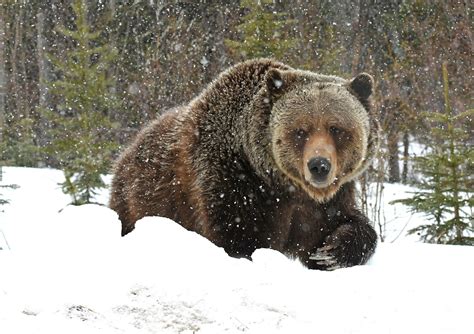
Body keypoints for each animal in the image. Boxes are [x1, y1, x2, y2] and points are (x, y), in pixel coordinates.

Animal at [109, 58, 380, 270]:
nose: (319, 166)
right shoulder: (232, 180)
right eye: (300, 131)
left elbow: (342, 226)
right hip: (138, 199)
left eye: (336, 129)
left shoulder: (322, 203)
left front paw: (331, 251)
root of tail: (131, 146)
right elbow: (239, 236)